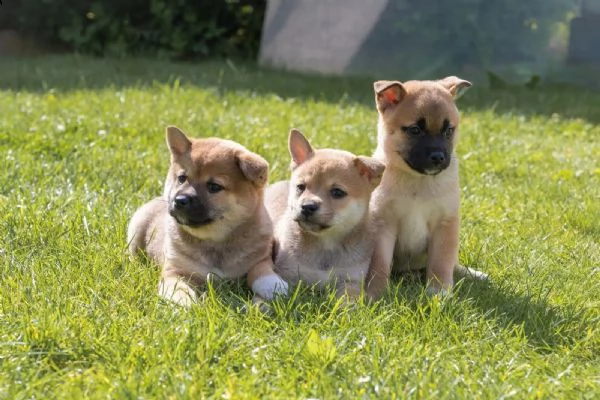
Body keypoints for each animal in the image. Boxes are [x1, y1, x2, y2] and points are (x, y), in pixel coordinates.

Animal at [126, 126, 288, 306]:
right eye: (182, 178)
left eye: (214, 186)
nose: (180, 200)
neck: (214, 240)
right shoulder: (174, 271)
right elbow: (179, 289)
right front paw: (185, 303)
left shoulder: (261, 258)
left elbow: (261, 270)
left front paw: (273, 285)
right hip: (137, 229)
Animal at [266, 130, 384, 298]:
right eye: (300, 187)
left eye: (337, 192)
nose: (307, 206)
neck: (326, 242)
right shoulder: (287, 274)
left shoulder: (351, 281)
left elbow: (347, 301)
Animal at [366, 76, 488, 296]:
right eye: (415, 130)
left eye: (448, 131)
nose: (438, 157)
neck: (419, 181)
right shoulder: (383, 225)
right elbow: (379, 264)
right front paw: (375, 293)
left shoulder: (445, 225)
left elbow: (441, 263)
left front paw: (439, 292)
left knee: (453, 264)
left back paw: (473, 274)